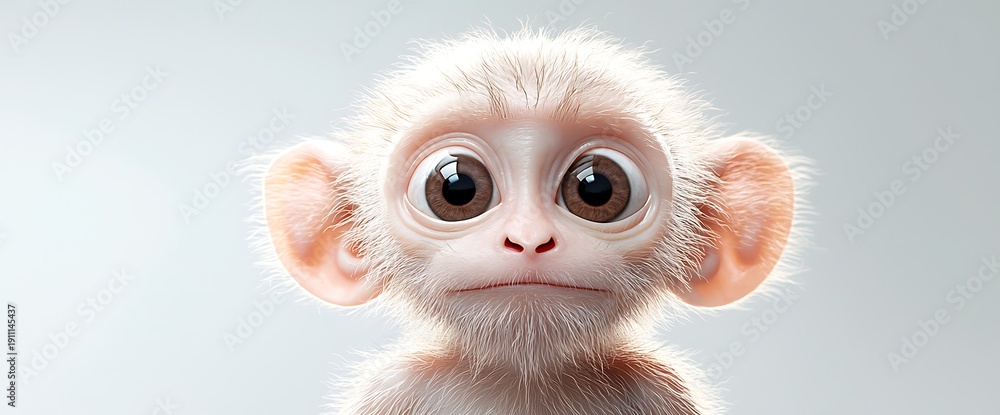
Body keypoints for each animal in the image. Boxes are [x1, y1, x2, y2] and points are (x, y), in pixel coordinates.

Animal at [259, 27, 810, 415]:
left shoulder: (662, 391)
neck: (523, 380)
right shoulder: (393, 388)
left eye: (597, 188)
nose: (527, 240)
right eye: (457, 188)